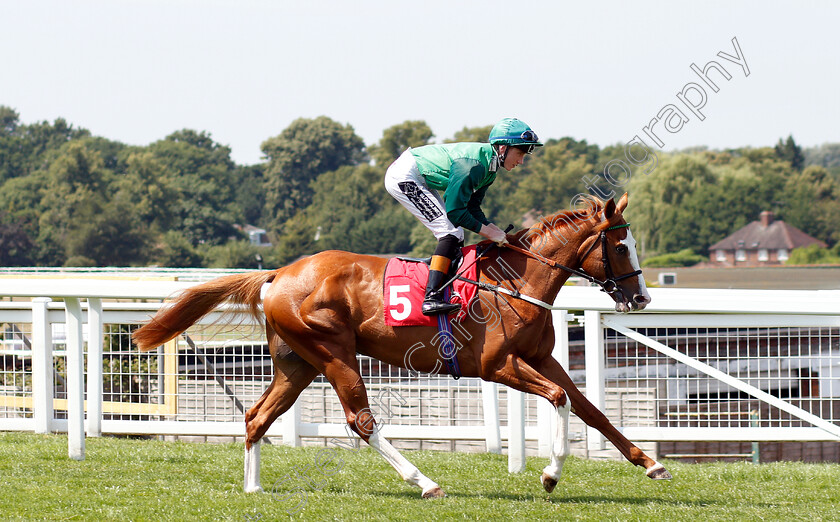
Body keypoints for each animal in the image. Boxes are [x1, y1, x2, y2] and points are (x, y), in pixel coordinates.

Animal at [133, 191, 668, 496]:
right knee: (361, 421)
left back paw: (253, 489)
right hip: (334, 354)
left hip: (297, 363)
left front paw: (651, 463)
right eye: (620, 245)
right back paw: (425, 482)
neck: (515, 283)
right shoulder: (496, 365)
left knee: (257, 417)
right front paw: (551, 474)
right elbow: (559, 399)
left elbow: (589, 408)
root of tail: (278, 273)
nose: (641, 297)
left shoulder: (541, 358)